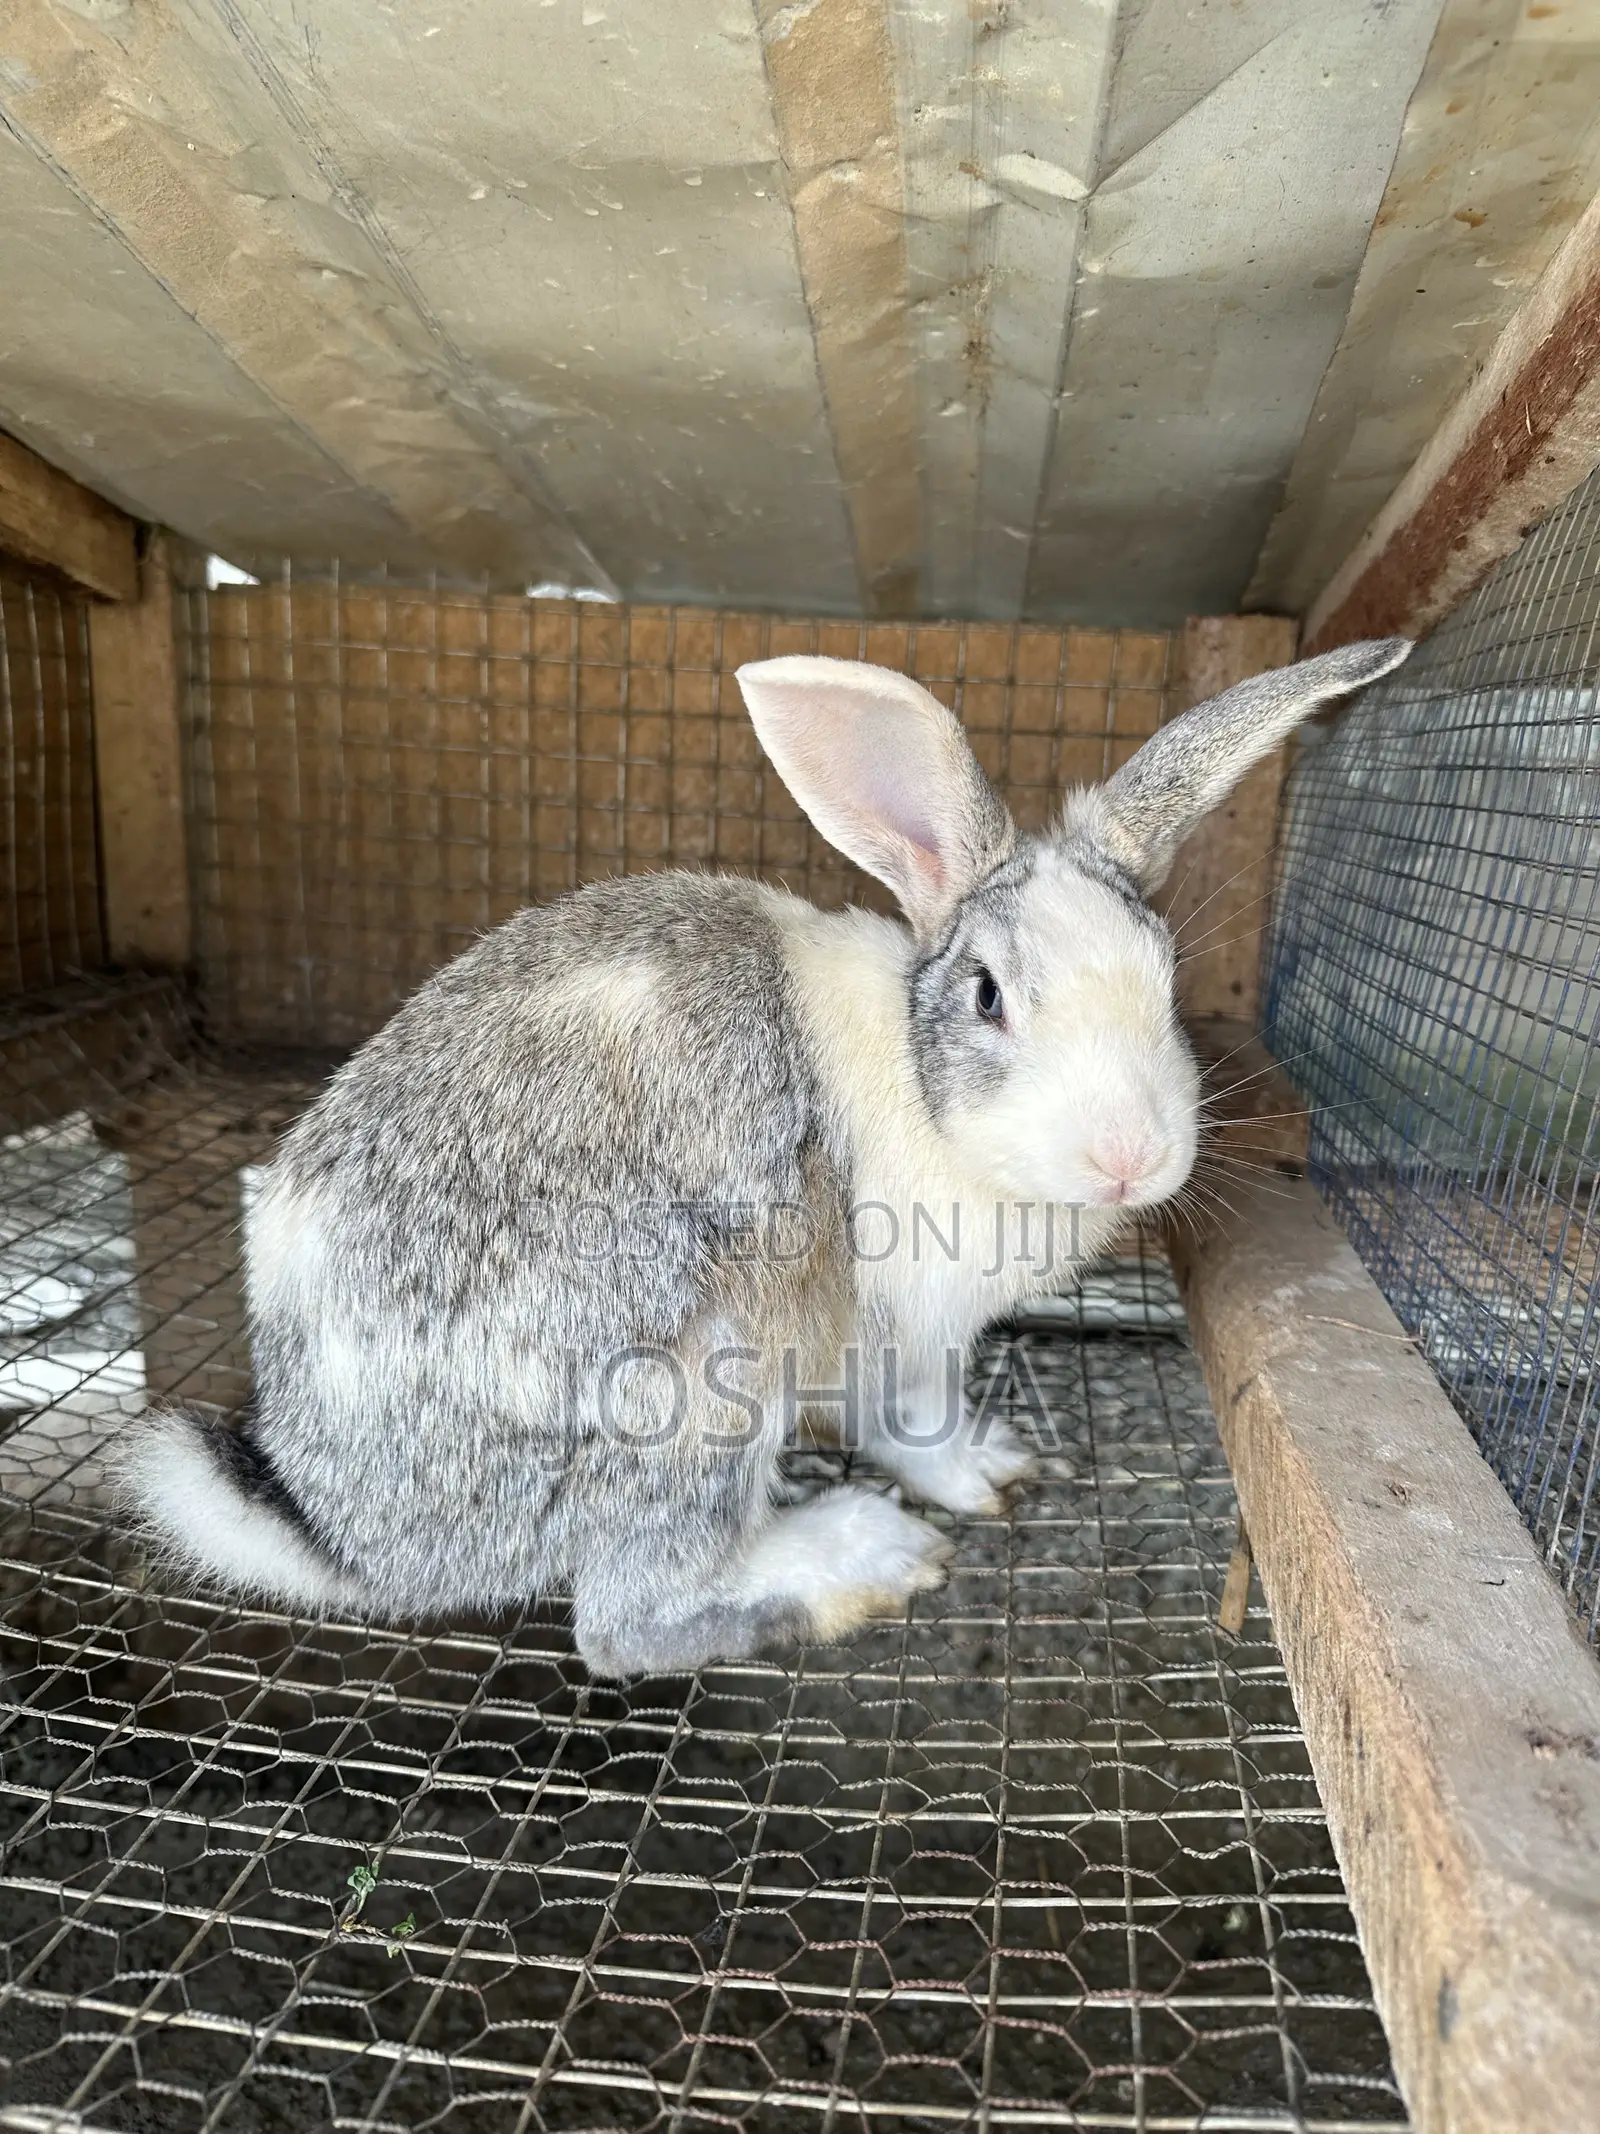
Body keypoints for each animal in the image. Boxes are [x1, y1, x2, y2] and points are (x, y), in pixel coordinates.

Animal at [116, 634, 1411, 1676]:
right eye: (988, 995)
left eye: (1167, 979)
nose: (1130, 1156)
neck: (925, 1089)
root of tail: (343, 1525)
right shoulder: (901, 1327)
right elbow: (917, 1421)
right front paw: (976, 1478)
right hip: (691, 1385)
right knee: (625, 1624)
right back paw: (852, 1558)